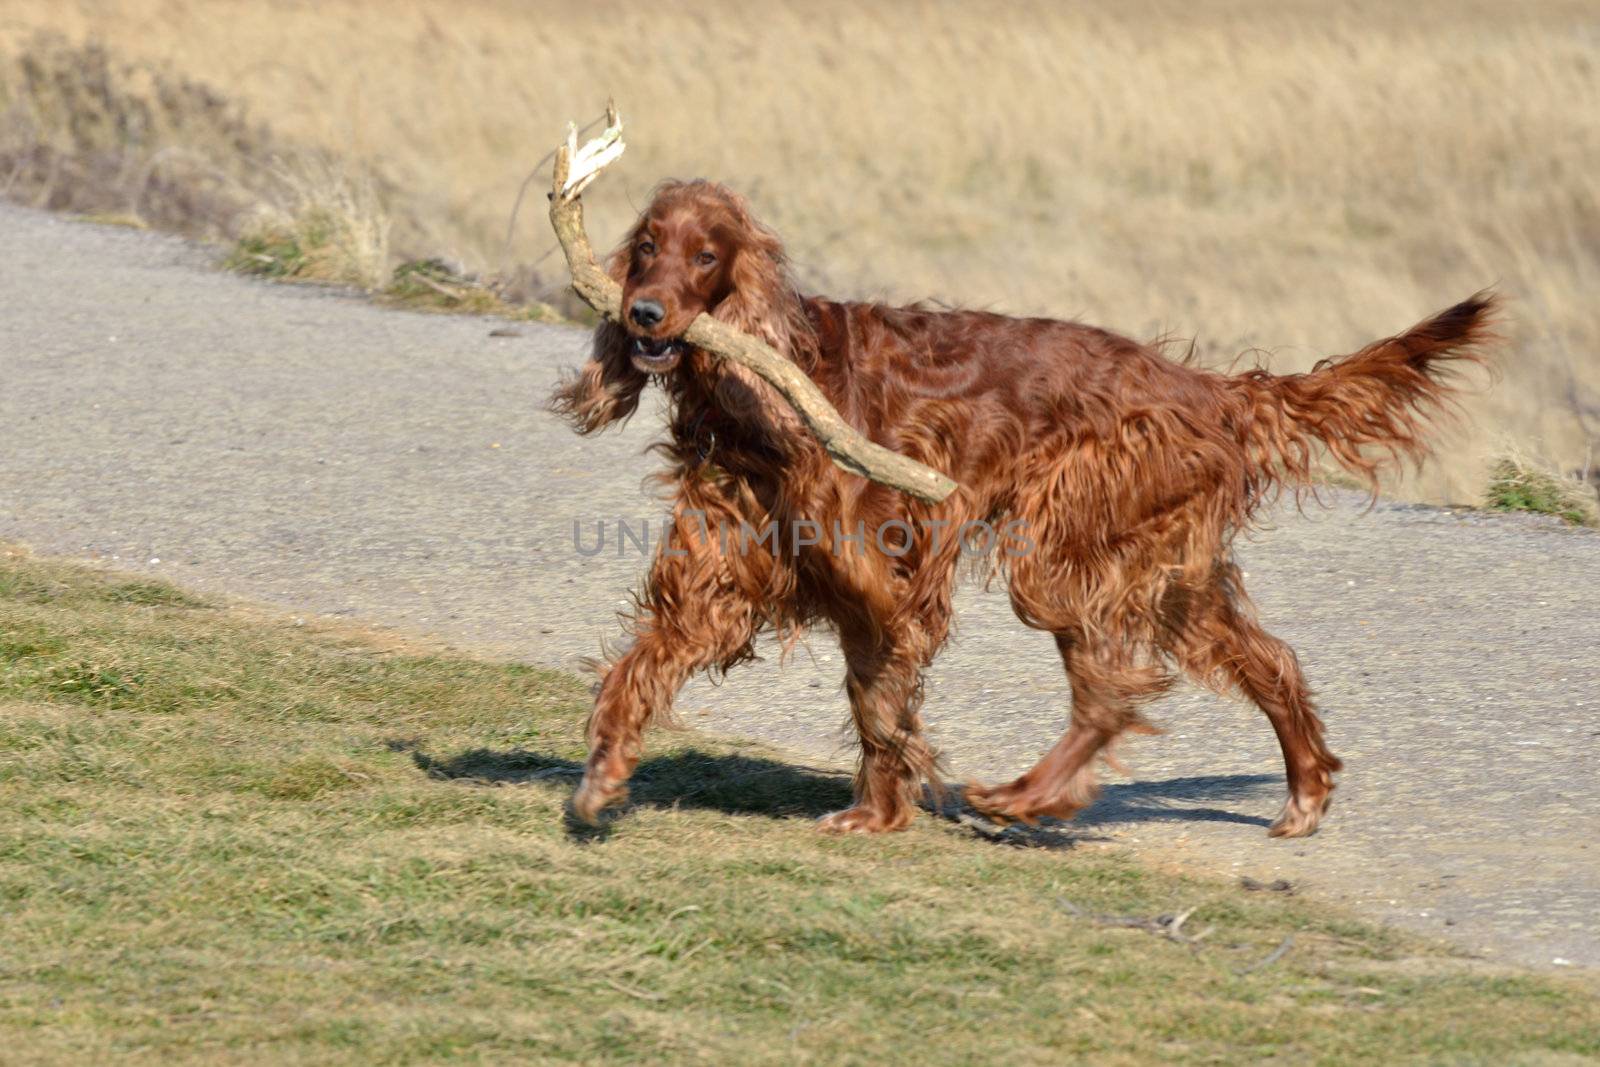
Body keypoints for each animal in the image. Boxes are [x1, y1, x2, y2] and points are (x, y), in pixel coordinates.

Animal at [553, 179, 1497, 838]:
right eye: (647, 245)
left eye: (706, 256)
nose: (643, 311)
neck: (757, 398)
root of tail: (1207, 389)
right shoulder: (723, 578)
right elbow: (645, 665)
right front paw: (602, 775)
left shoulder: (884, 578)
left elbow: (881, 698)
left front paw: (884, 806)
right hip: (1172, 574)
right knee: (1269, 662)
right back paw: (1304, 791)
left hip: (1060, 555)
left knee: (1111, 693)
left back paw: (1025, 797)